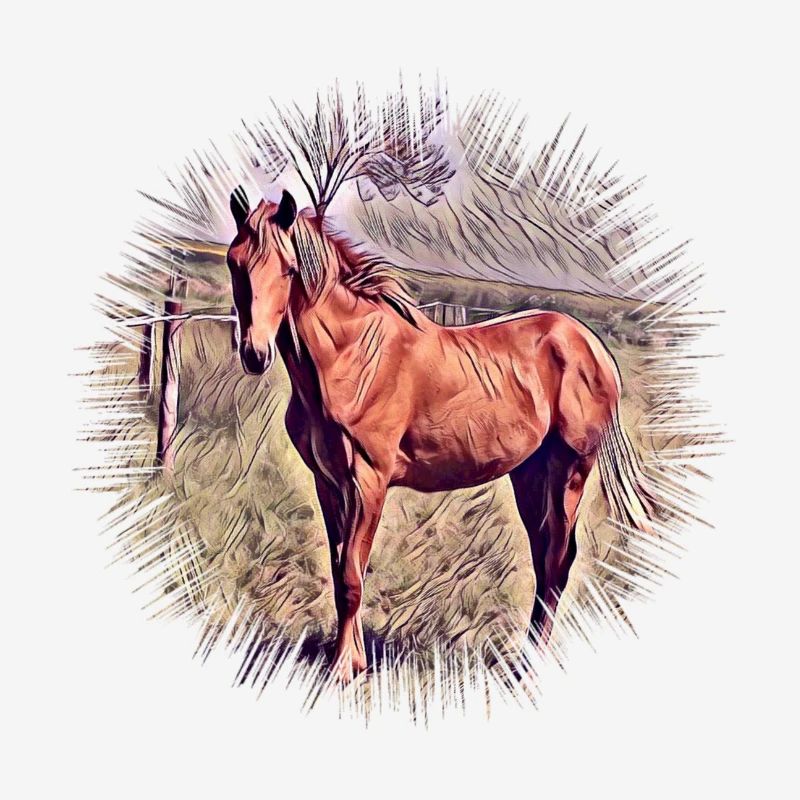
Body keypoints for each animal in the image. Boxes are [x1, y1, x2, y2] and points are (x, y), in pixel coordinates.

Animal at [226, 187, 648, 680]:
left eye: (289, 269)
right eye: (235, 263)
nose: (254, 354)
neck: (353, 357)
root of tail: (590, 343)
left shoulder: (368, 482)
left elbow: (352, 576)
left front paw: (342, 669)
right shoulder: (328, 482)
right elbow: (340, 567)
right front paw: (352, 658)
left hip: (570, 471)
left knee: (558, 560)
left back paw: (531, 667)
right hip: (529, 474)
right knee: (545, 558)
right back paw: (522, 658)